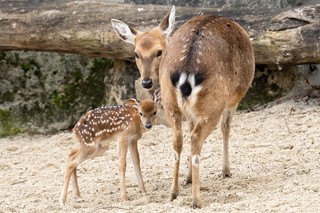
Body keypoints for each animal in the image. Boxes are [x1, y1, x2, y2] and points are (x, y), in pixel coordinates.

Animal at [112, 5, 255, 207]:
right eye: (136, 54)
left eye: (159, 52)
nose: (146, 82)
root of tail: (187, 69)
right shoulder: (234, 98)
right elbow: (225, 128)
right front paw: (226, 171)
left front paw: (187, 178)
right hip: (214, 103)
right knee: (197, 138)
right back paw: (196, 199)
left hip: (171, 103)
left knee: (177, 140)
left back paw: (173, 193)